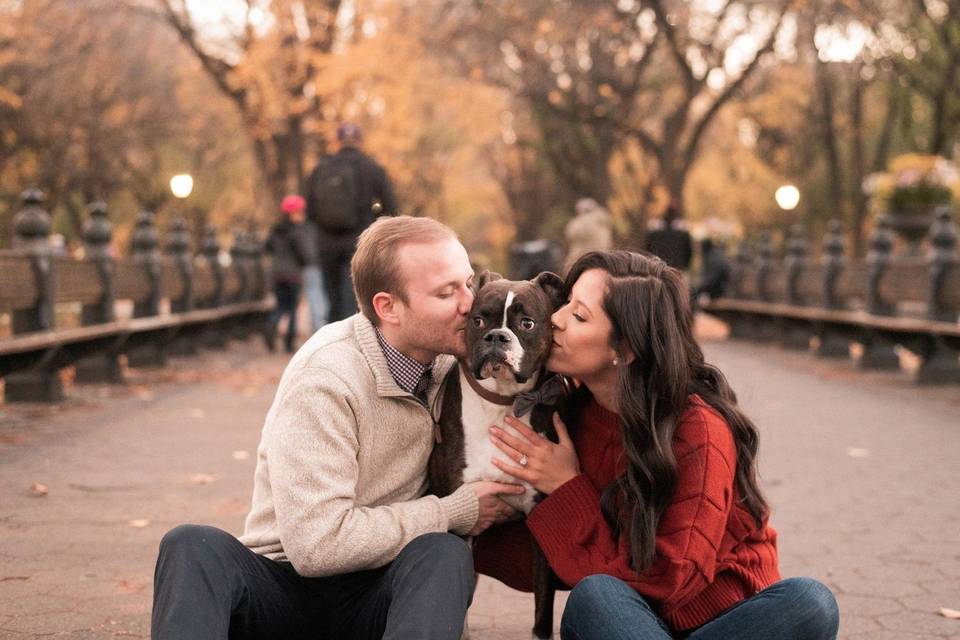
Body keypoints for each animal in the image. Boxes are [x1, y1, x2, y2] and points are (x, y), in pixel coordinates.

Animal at [432, 268, 568, 640]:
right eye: (478, 320)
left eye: (527, 323)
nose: (496, 337)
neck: (503, 403)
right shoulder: (464, 517)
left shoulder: (542, 523)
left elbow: (542, 609)